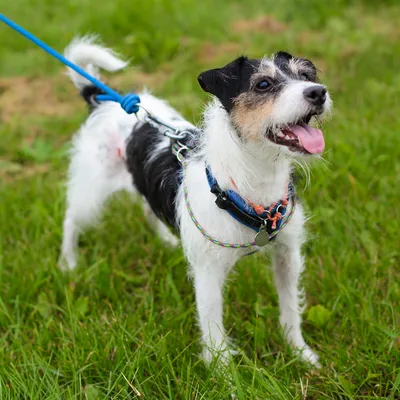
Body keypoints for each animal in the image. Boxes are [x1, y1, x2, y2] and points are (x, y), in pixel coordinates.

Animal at [59, 38, 332, 368]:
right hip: (91, 190)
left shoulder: (288, 255)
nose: (318, 92)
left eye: (305, 75)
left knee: (148, 208)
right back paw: (68, 262)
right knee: (71, 218)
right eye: (264, 84)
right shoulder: (208, 273)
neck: (251, 183)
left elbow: (290, 309)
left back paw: (166, 240)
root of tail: (104, 101)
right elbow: (213, 331)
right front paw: (225, 374)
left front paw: (300, 353)